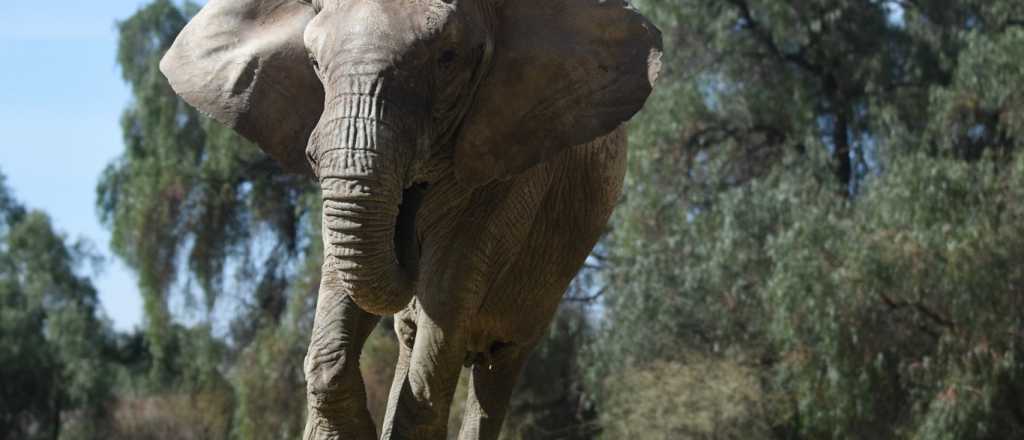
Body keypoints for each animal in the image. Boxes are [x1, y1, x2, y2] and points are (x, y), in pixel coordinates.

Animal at [155, 0, 659, 435]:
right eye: (314, 62)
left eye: (447, 58)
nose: (409, 221)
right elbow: (341, 292)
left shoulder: (510, 162)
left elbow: (448, 289)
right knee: (414, 340)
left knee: (495, 368)